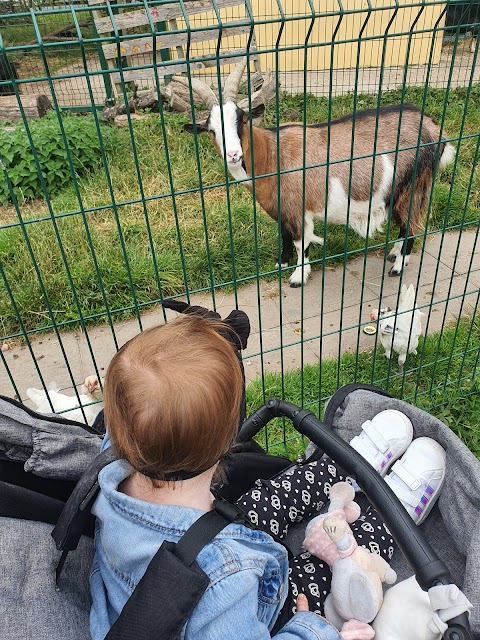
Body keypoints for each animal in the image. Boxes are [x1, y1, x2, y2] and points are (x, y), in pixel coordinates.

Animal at [182, 57, 456, 288]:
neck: (271, 154)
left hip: (413, 187)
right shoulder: (282, 207)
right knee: (408, 225)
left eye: (241, 120)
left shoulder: (297, 208)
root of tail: (436, 131)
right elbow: (284, 234)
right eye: (211, 130)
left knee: (411, 226)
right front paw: (281, 262)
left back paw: (397, 267)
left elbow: (300, 242)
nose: (233, 155)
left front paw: (298, 277)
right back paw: (396, 255)